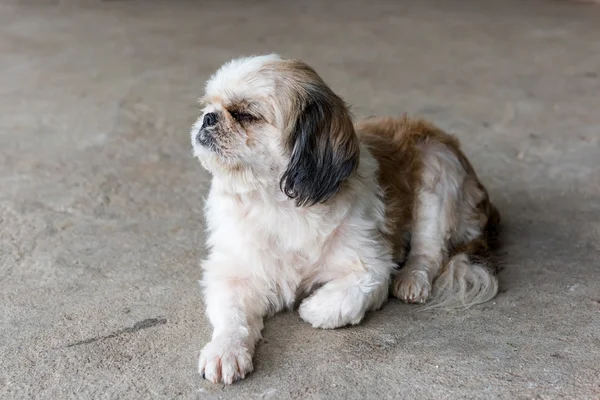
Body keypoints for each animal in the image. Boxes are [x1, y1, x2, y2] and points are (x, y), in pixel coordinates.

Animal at [192, 54, 502, 384]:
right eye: (208, 106)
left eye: (245, 115)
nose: (209, 118)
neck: (276, 203)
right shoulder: (232, 273)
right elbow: (232, 315)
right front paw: (226, 350)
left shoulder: (371, 268)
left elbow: (337, 301)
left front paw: (310, 307)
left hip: (438, 168)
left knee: (430, 251)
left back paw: (412, 279)